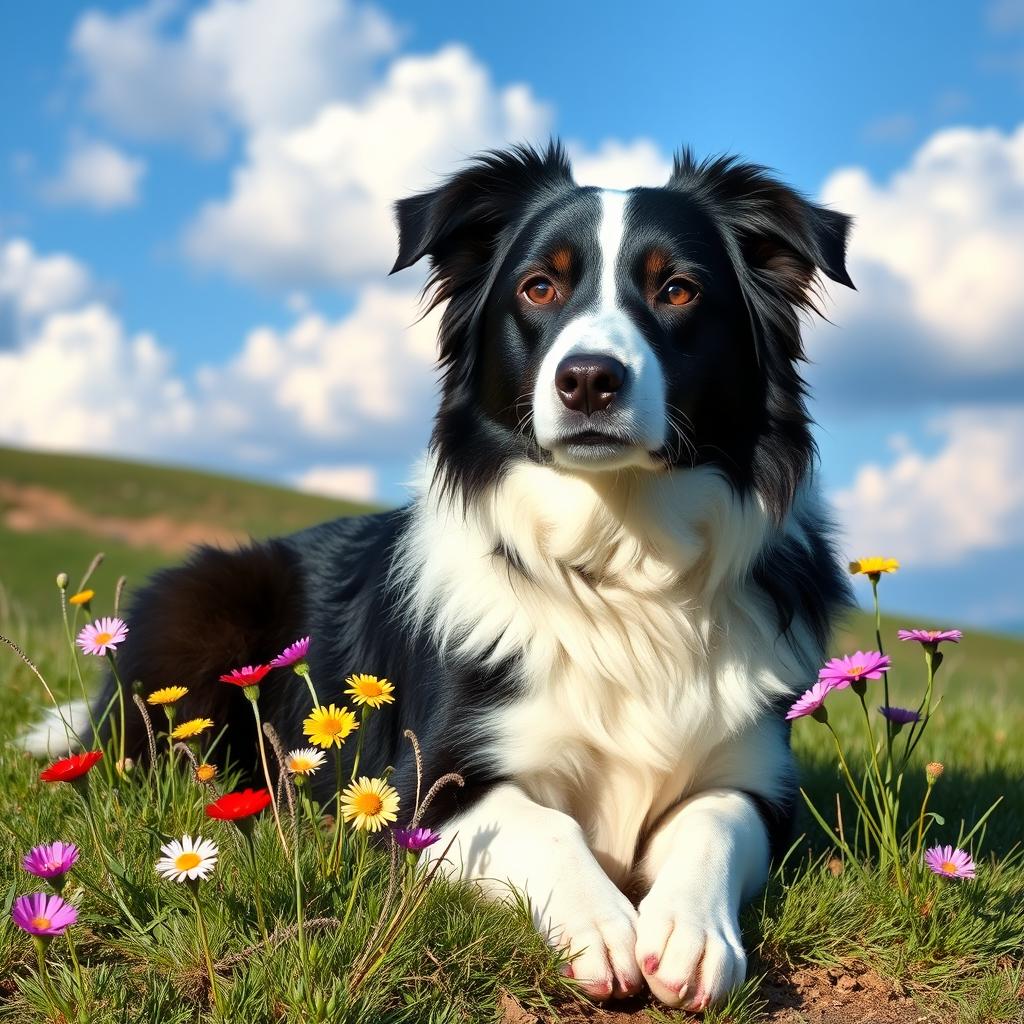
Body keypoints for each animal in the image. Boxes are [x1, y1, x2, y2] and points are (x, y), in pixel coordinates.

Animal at [29, 142, 856, 1007]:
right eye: (539, 286)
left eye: (678, 290)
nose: (588, 380)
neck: (619, 560)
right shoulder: (425, 787)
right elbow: (546, 823)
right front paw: (601, 925)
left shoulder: (759, 779)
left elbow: (712, 820)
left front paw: (691, 933)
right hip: (202, 617)